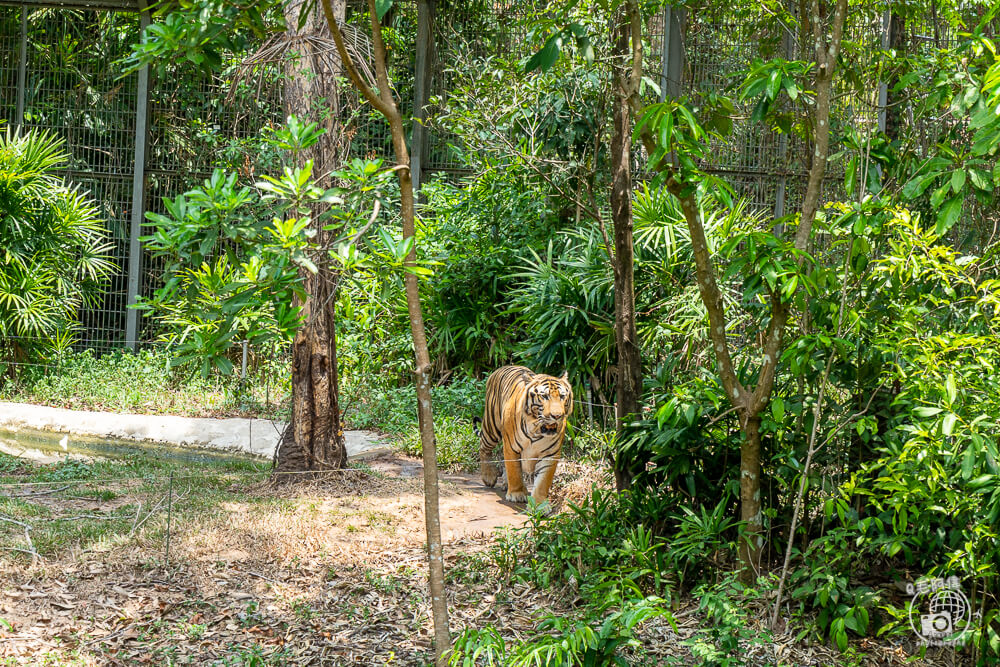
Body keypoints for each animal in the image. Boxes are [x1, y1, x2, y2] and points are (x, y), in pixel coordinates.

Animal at [474, 368, 572, 504]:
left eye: (562, 396)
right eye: (544, 396)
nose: (557, 416)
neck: (537, 430)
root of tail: (498, 370)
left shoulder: (550, 454)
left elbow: (543, 482)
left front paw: (539, 503)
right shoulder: (511, 447)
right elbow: (514, 471)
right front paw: (517, 494)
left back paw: (505, 483)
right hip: (491, 427)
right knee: (483, 447)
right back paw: (489, 476)